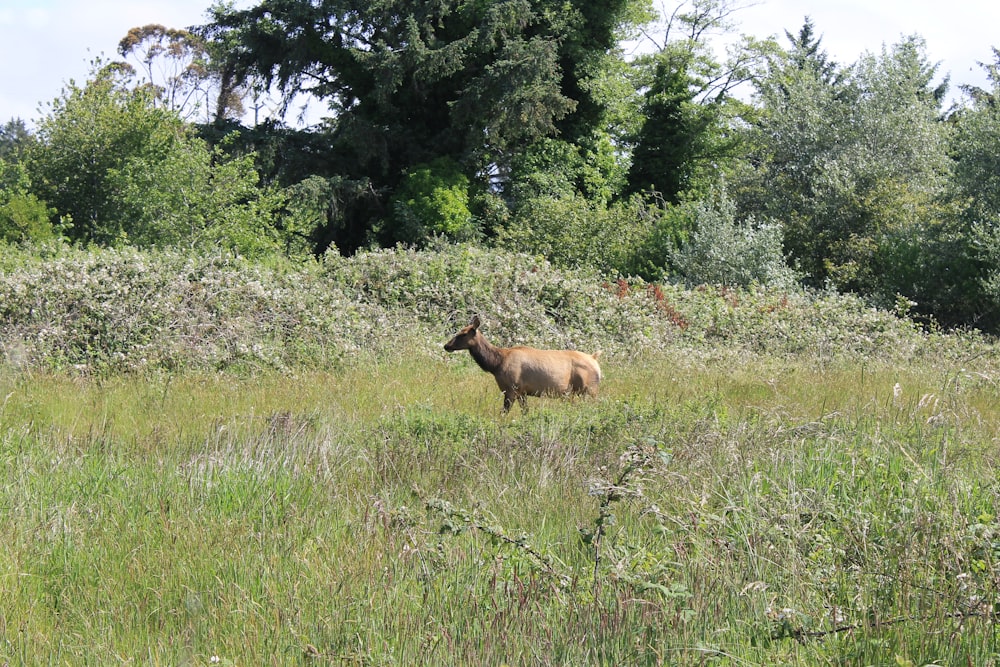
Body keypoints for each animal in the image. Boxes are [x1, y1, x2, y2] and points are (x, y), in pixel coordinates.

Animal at [446, 314, 600, 412]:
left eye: (463, 334)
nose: (446, 346)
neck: (495, 364)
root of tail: (595, 359)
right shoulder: (522, 392)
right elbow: (525, 412)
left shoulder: (511, 389)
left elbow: (503, 413)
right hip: (573, 393)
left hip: (590, 390)